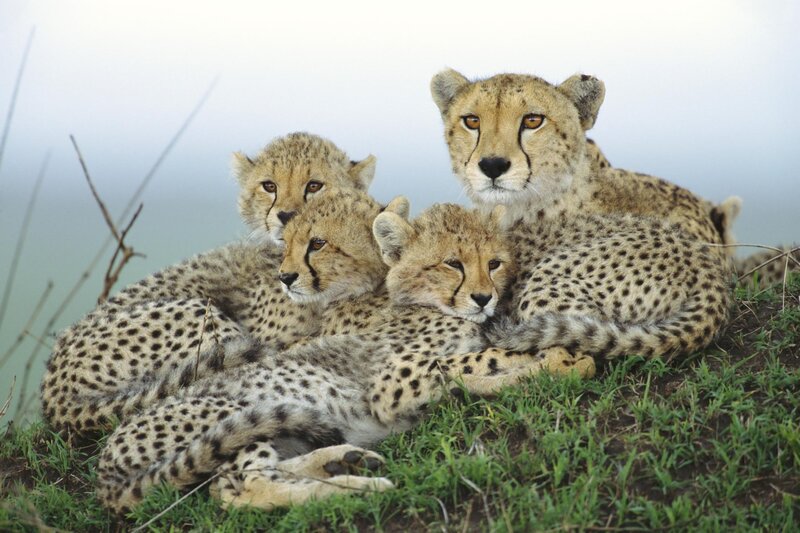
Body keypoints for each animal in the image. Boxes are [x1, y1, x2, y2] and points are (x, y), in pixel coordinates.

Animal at [95, 189, 596, 513]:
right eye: (453, 264)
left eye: (494, 263)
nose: (484, 298)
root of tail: (106, 461)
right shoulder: (392, 384)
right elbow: (474, 360)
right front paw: (559, 359)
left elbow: (475, 365)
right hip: (233, 414)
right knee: (248, 488)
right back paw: (359, 489)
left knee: (250, 480)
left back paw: (343, 461)